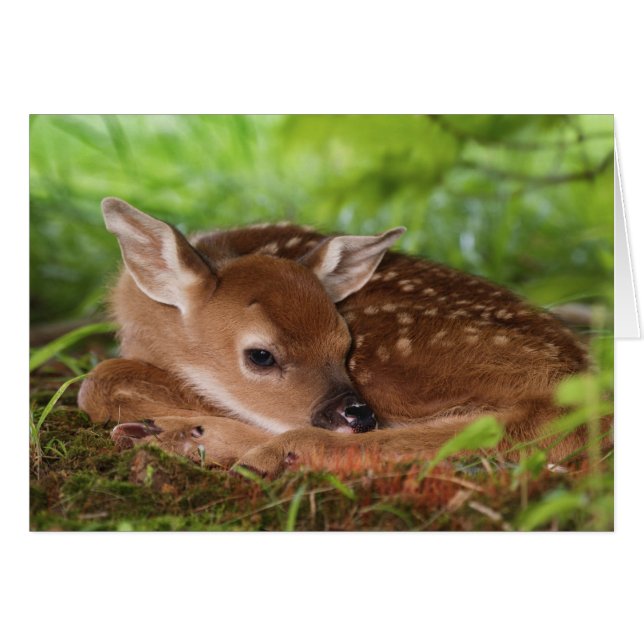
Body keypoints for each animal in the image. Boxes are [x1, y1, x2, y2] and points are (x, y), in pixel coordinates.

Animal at [78, 197, 597, 477]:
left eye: (343, 344)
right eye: (261, 356)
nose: (357, 414)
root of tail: (578, 380)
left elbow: (97, 384)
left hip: (398, 367)